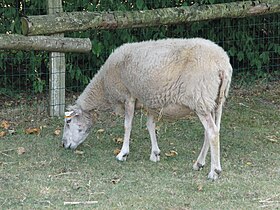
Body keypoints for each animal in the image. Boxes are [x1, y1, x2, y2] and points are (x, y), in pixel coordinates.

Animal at [62, 37, 233, 180]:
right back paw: (199, 163)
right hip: (214, 101)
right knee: (211, 131)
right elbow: (150, 126)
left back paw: (214, 171)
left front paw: (123, 153)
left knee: (212, 132)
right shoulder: (150, 101)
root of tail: (222, 64)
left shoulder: (128, 96)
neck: (104, 86)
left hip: (200, 99)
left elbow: (127, 125)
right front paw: (155, 153)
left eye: (68, 122)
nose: (64, 145)